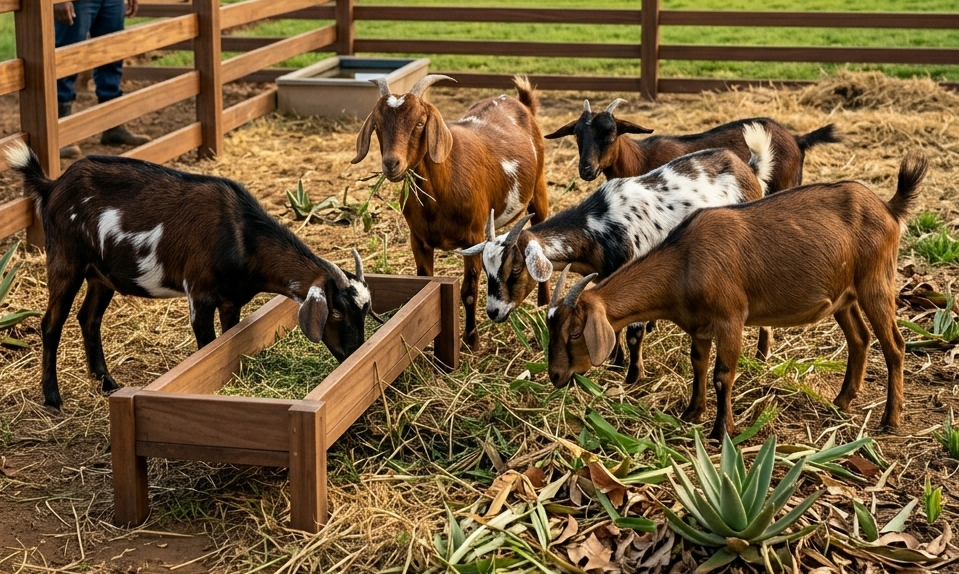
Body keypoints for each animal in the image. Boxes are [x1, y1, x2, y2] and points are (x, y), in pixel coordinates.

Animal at [5, 141, 371, 409]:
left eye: (364, 313)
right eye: (337, 311)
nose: (354, 352)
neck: (242, 235)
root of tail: (52, 185)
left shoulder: (231, 300)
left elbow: (227, 340)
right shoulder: (200, 294)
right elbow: (206, 347)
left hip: (100, 274)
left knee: (88, 318)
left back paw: (107, 382)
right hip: (66, 261)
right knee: (51, 324)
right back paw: (53, 398)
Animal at [351, 74, 549, 350]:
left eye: (419, 123)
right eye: (377, 125)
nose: (391, 164)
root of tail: (520, 102)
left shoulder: (474, 237)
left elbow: (469, 292)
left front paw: (472, 341)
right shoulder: (419, 240)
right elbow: (424, 281)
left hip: (539, 186)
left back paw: (544, 302)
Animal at [461, 123, 777, 382]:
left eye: (515, 269)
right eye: (487, 269)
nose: (493, 311)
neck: (597, 226)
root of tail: (748, 169)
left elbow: (634, 332)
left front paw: (632, 377)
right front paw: (615, 361)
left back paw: (762, 353)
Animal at [546, 150, 928, 440]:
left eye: (576, 332)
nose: (555, 376)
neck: (684, 260)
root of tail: (888, 208)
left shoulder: (730, 319)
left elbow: (722, 374)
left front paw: (722, 431)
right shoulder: (700, 327)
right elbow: (698, 365)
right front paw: (692, 413)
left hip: (876, 282)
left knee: (894, 345)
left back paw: (890, 419)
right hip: (844, 295)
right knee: (859, 338)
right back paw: (842, 401)